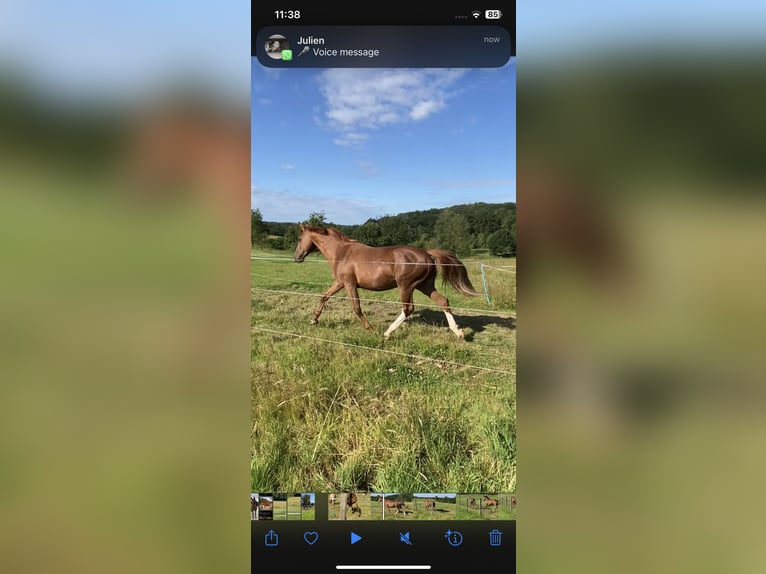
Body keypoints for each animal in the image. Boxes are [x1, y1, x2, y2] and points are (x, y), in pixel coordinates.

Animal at [294, 227, 480, 340]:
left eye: (299, 238)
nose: (296, 258)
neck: (342, 252)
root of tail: (428, 253)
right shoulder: (340, 282)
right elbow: (324, 297)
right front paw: (314, 320)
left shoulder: (349, 284)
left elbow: (357, 308)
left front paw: (370, 329)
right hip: (425, 286)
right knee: (443, 301)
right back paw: (459, 332)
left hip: (406, 286)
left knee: (408, 309)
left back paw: (387, 332)